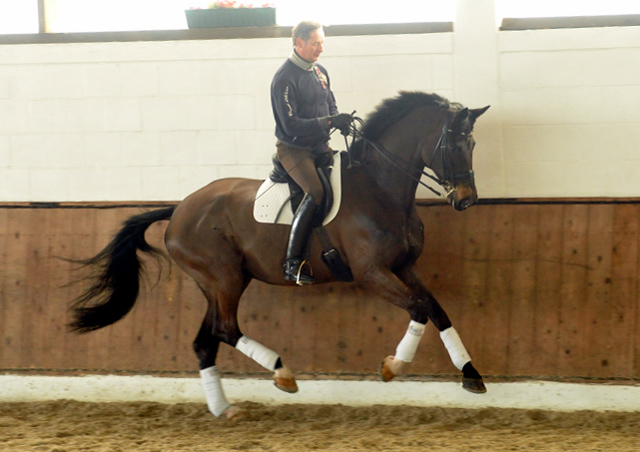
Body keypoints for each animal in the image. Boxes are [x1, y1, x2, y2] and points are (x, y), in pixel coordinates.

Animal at [70, 91, 490, 420]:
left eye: (472, 145)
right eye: (454, 145)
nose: (466, 200)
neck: (380, 187)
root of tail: (178, 210)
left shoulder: (404, 266)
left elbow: (436, 310)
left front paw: (471, 374)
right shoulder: (372, 273)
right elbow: (418, 308)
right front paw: (392, 366)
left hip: (217, 284)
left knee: (206, 341)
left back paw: (224, 408)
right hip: (224, 278)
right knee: (226, 329)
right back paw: (281, 373)